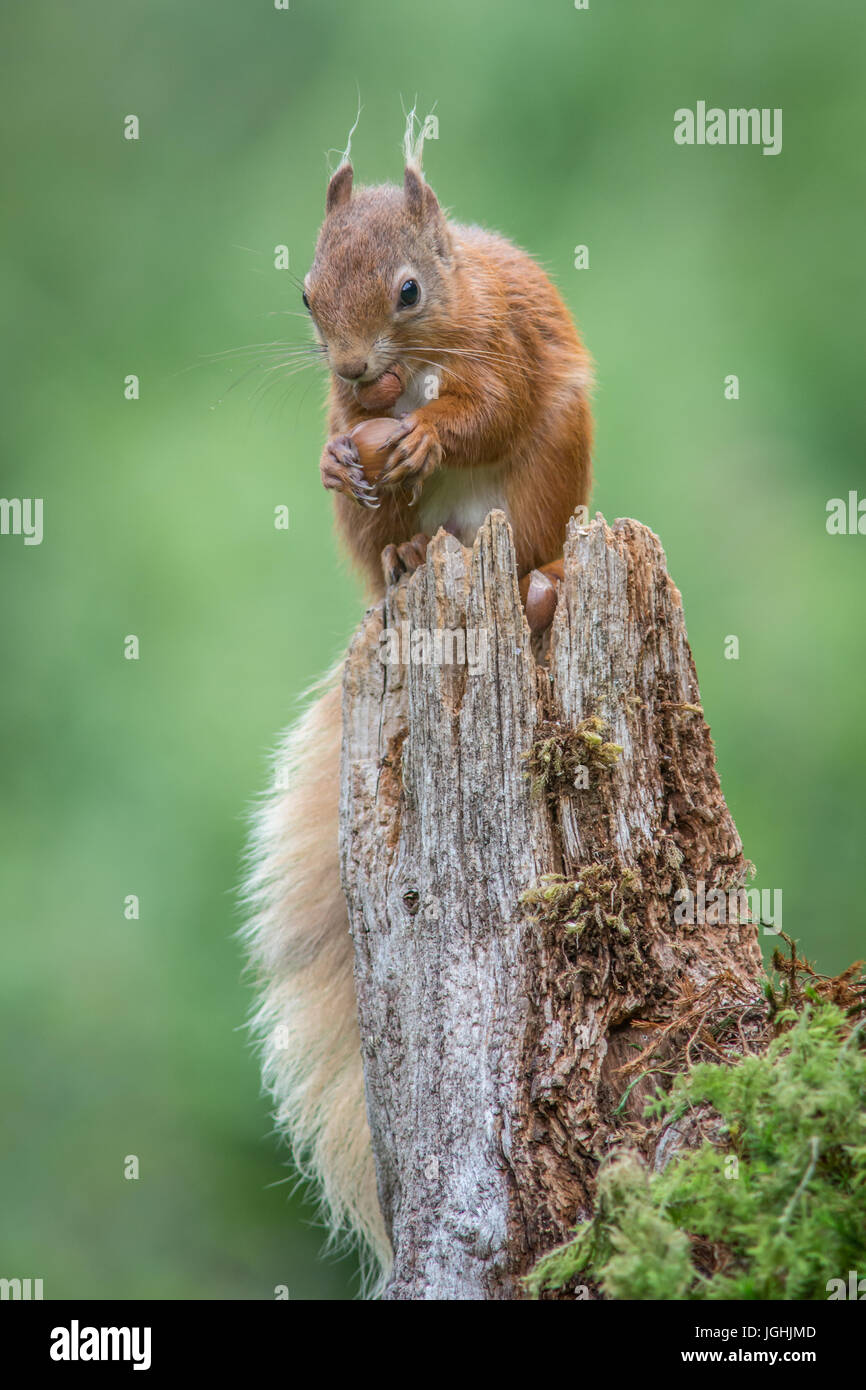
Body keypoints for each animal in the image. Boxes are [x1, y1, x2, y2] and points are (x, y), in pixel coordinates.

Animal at [247, 141, 592, 1289]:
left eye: (407, 291)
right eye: (306, 292)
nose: (357, 371)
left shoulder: (505, 344)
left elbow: (485, 406)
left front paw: (427, 430)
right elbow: (349, 440)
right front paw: (349, 445)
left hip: (544, 487)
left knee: (525, 539)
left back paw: (536, 589)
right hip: (373, 538)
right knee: (387, 539)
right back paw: (401, 552)